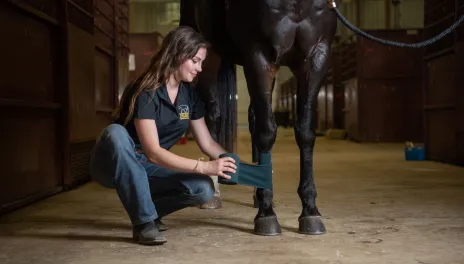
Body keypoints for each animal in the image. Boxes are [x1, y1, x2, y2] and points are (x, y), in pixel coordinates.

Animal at [180, 0, 338, 235]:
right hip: (208, 57)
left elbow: (305, 132)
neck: (297, 5)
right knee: (213, 117)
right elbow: (267, 132)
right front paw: (267, 215)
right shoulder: (258, 56)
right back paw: (214, 194)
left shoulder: (316, 58)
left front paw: (310, 211)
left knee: (253, 118)